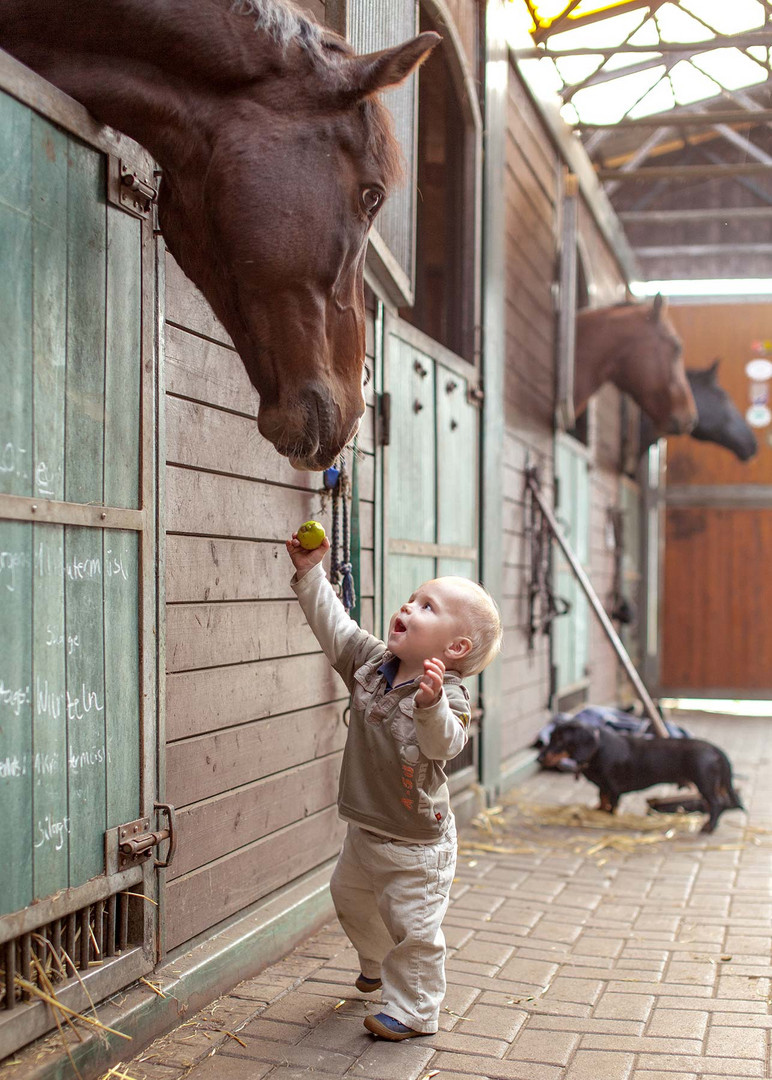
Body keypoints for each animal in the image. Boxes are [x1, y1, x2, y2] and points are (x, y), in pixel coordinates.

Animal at [537, 725, 742, 833]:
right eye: (551, 738)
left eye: (559, 740)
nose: (539, 758)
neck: (597, 748)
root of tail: (715, 750)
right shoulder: (603, 787)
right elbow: (602, 799)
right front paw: (598, 811)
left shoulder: (613, 788)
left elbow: (612, 806)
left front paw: (609, 817)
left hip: (705, 783)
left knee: (717, 803)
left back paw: (708, 827)